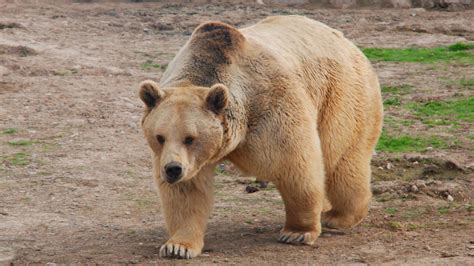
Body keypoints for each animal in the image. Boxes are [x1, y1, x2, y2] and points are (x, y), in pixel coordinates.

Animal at [139, 15, 384, 260]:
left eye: (190, 138)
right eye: (160, 137)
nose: (172, 169)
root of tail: (346, 42)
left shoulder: (271, 109)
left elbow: (296, 167)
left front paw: (297, 232)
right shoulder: (187, 159)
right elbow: (187, 193)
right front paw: (177, 246)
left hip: (340, 96)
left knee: (341, 160)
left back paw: (339, 216)